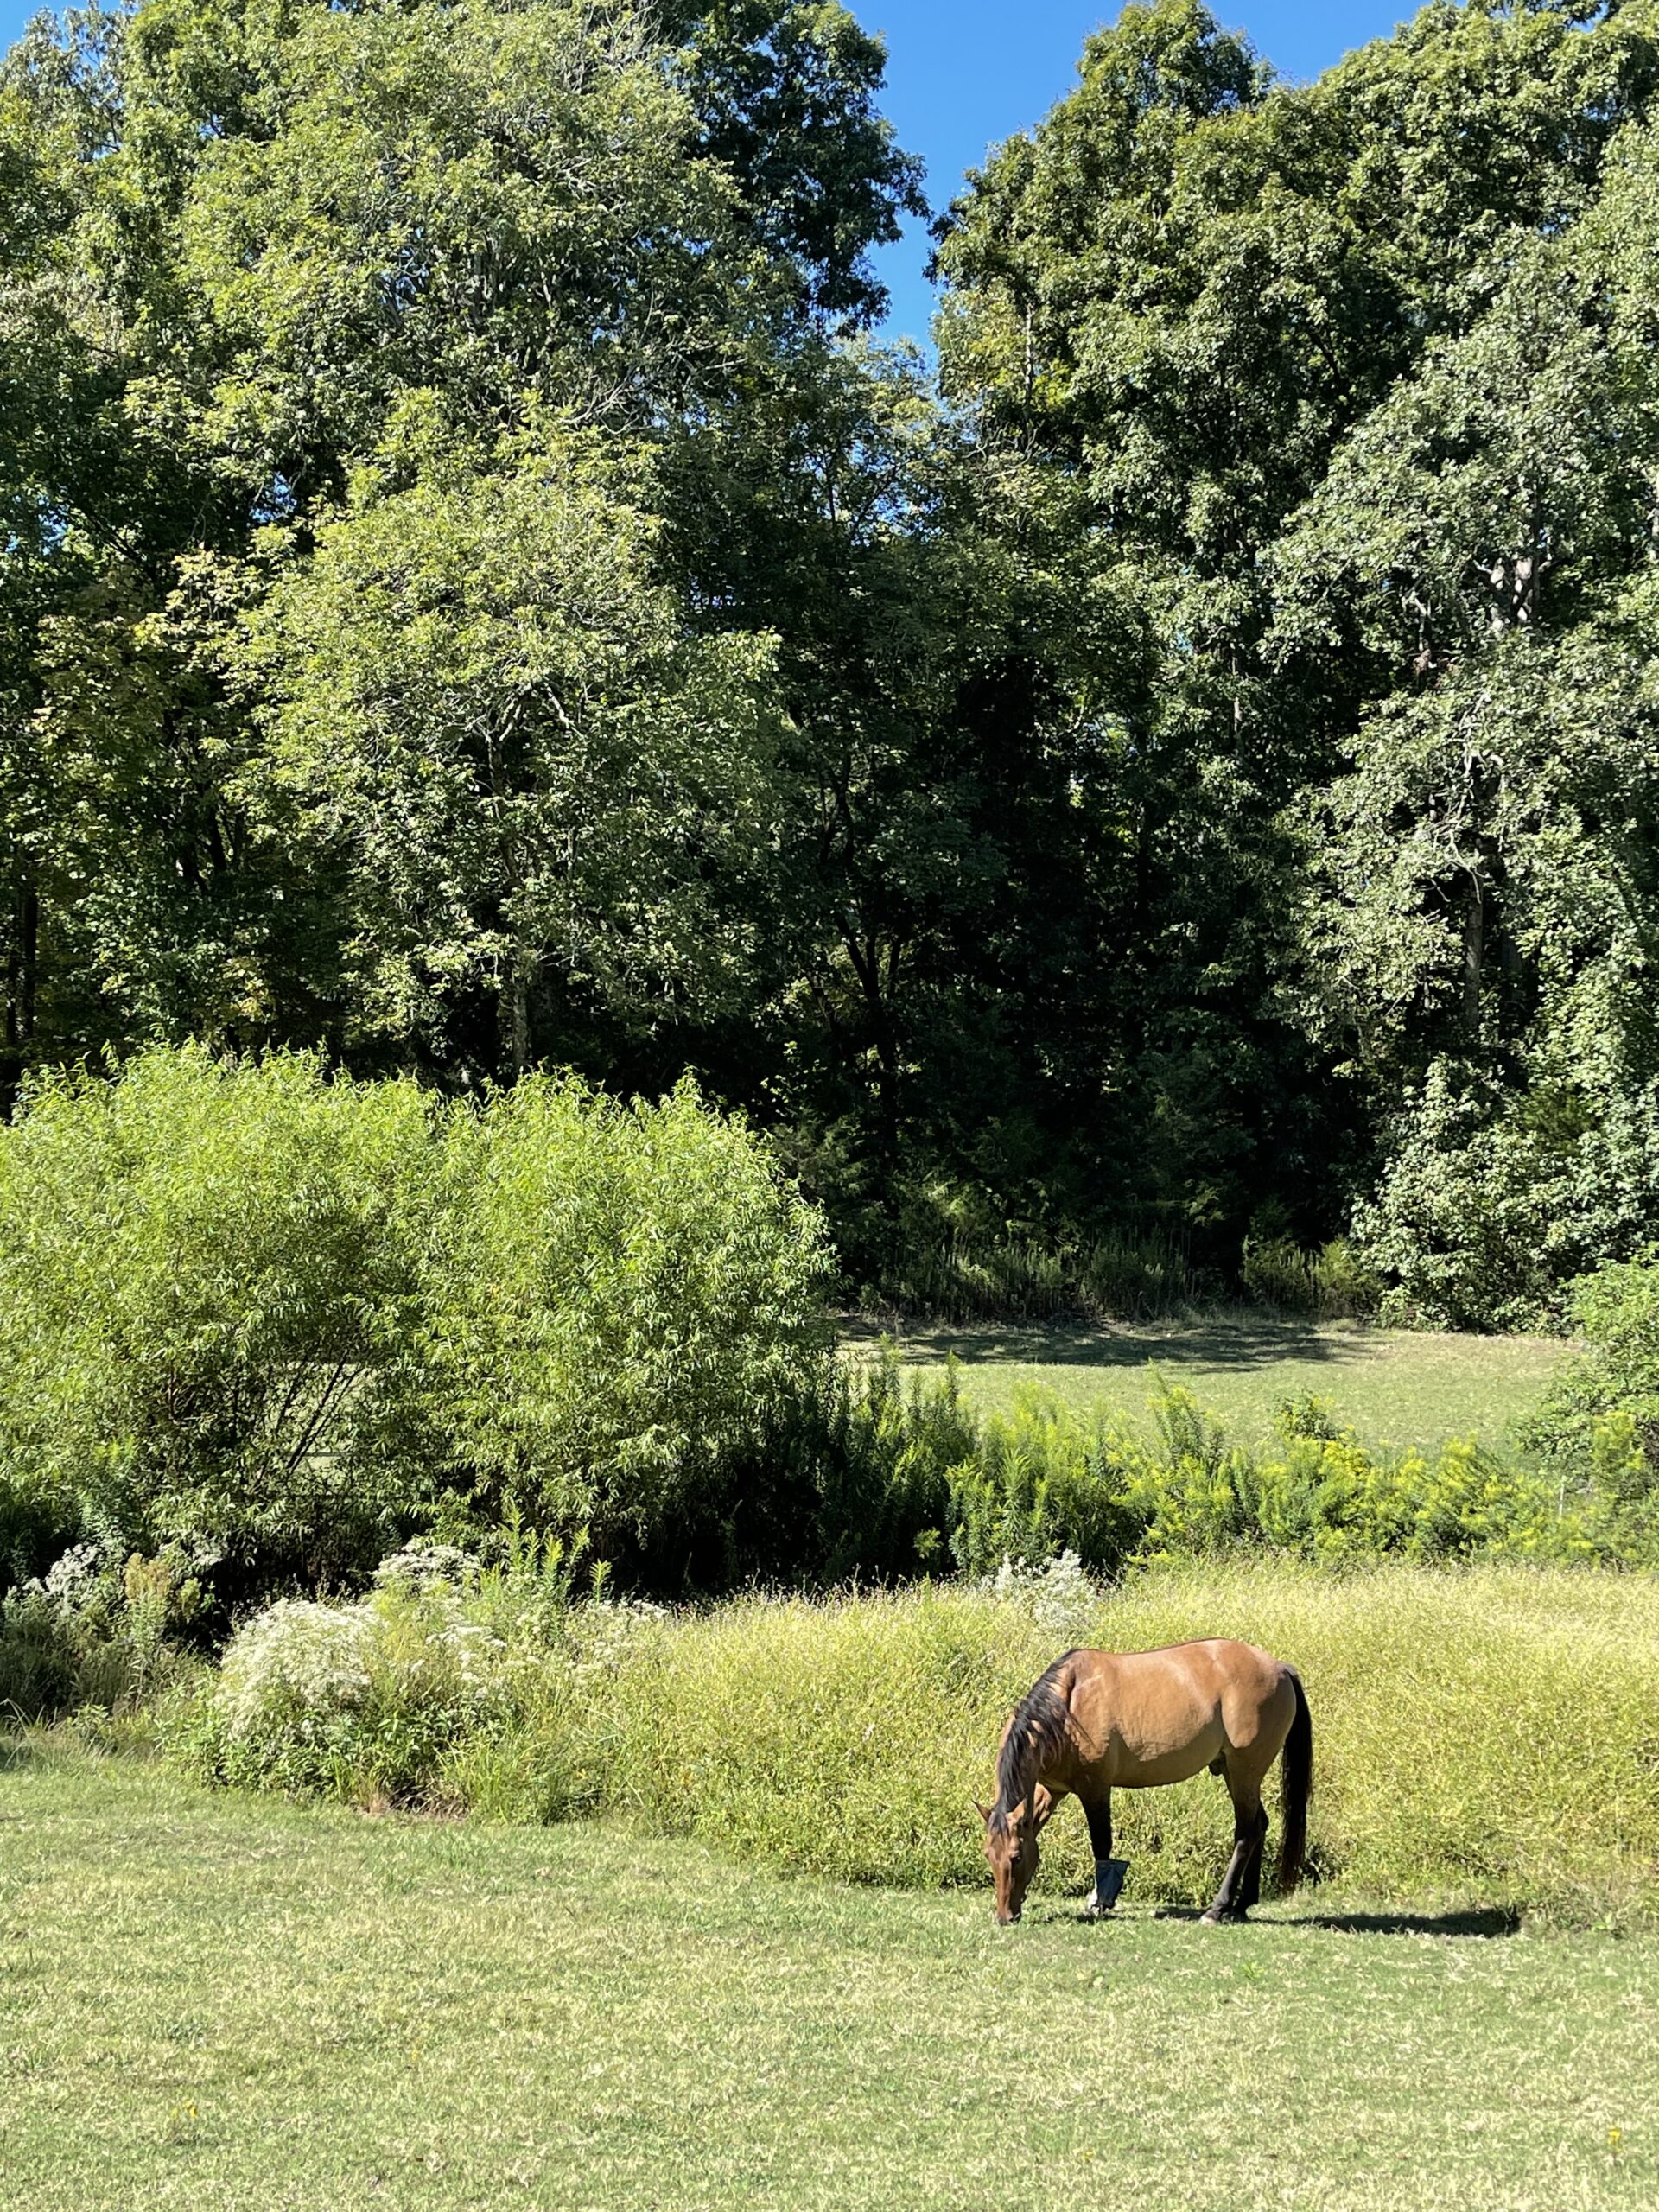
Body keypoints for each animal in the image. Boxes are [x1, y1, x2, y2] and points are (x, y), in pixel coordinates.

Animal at [982, 1637, 1318, 1929]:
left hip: (1244, 1771)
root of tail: (1280, 1667)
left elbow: (1102, 1845)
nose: (1005, 1916)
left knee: (1246, 1833)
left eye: (1016, 1856)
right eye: (989, 1855)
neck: (1068, 1706)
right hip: (1239, 1775)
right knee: (1259, 1825)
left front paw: (1100, 1901)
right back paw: (1242, 1904)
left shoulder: (1095, 1788)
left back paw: (1217, 1908)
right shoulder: (1052, 1790)